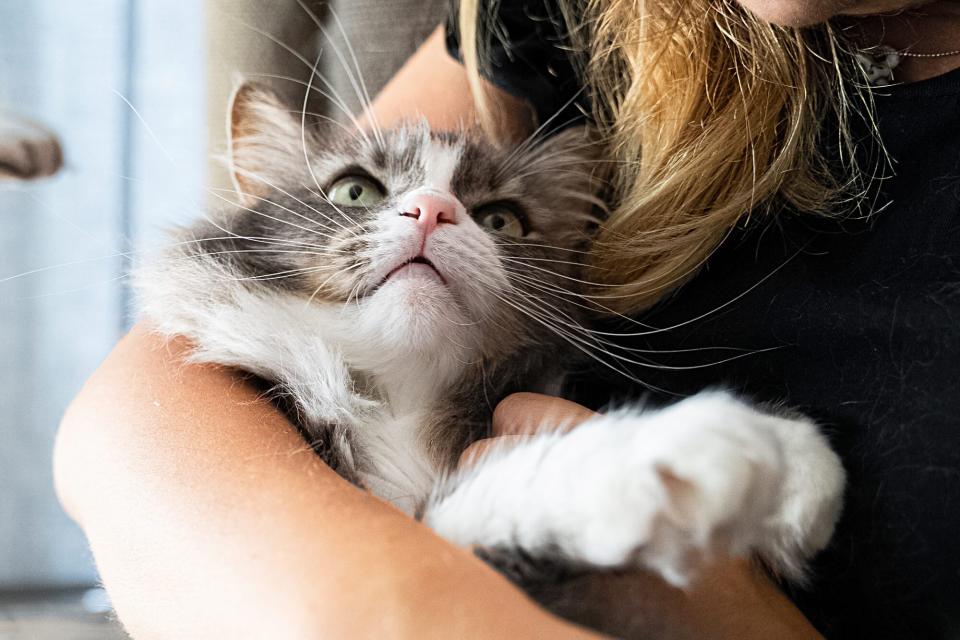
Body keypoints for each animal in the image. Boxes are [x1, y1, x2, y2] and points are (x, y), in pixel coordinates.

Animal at [137, 82, 848, 636]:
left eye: (500, 220)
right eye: (355, 192)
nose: (433, 210)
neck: (402, 404)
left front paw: (796, 471)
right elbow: (513, 482)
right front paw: (691, 449)